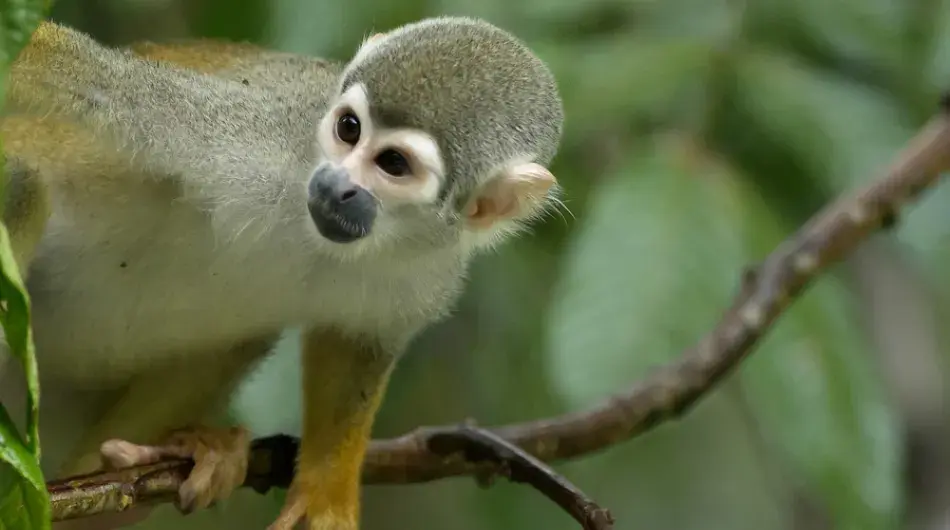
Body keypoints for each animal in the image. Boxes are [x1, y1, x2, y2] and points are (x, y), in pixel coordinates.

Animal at [0, 15, 563, 530]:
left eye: (394, 164)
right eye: (348, 129)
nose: (337, 186)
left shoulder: (436, 265)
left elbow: (357, 345)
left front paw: (325, 494)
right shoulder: (251, 138)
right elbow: (99, 85)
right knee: (23, 181)